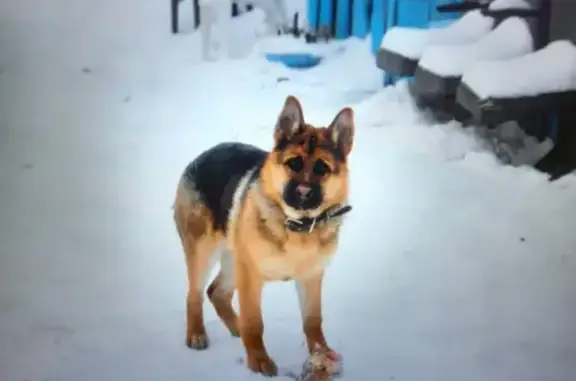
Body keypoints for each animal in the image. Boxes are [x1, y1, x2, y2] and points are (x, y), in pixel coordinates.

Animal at [173, 95, 354, 374]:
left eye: (322, 168)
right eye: (293, 163)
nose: (303, 193)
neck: (297, 225)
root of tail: (205, 153)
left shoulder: (311, 278)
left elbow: (313, 321)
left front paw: (321, 354)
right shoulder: (251, 277)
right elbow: (255, 322)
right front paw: (258, 361)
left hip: (233, 261)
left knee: (216, 292)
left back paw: (234, 327)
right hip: (205, 253)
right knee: (195, 293)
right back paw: (196, 334)